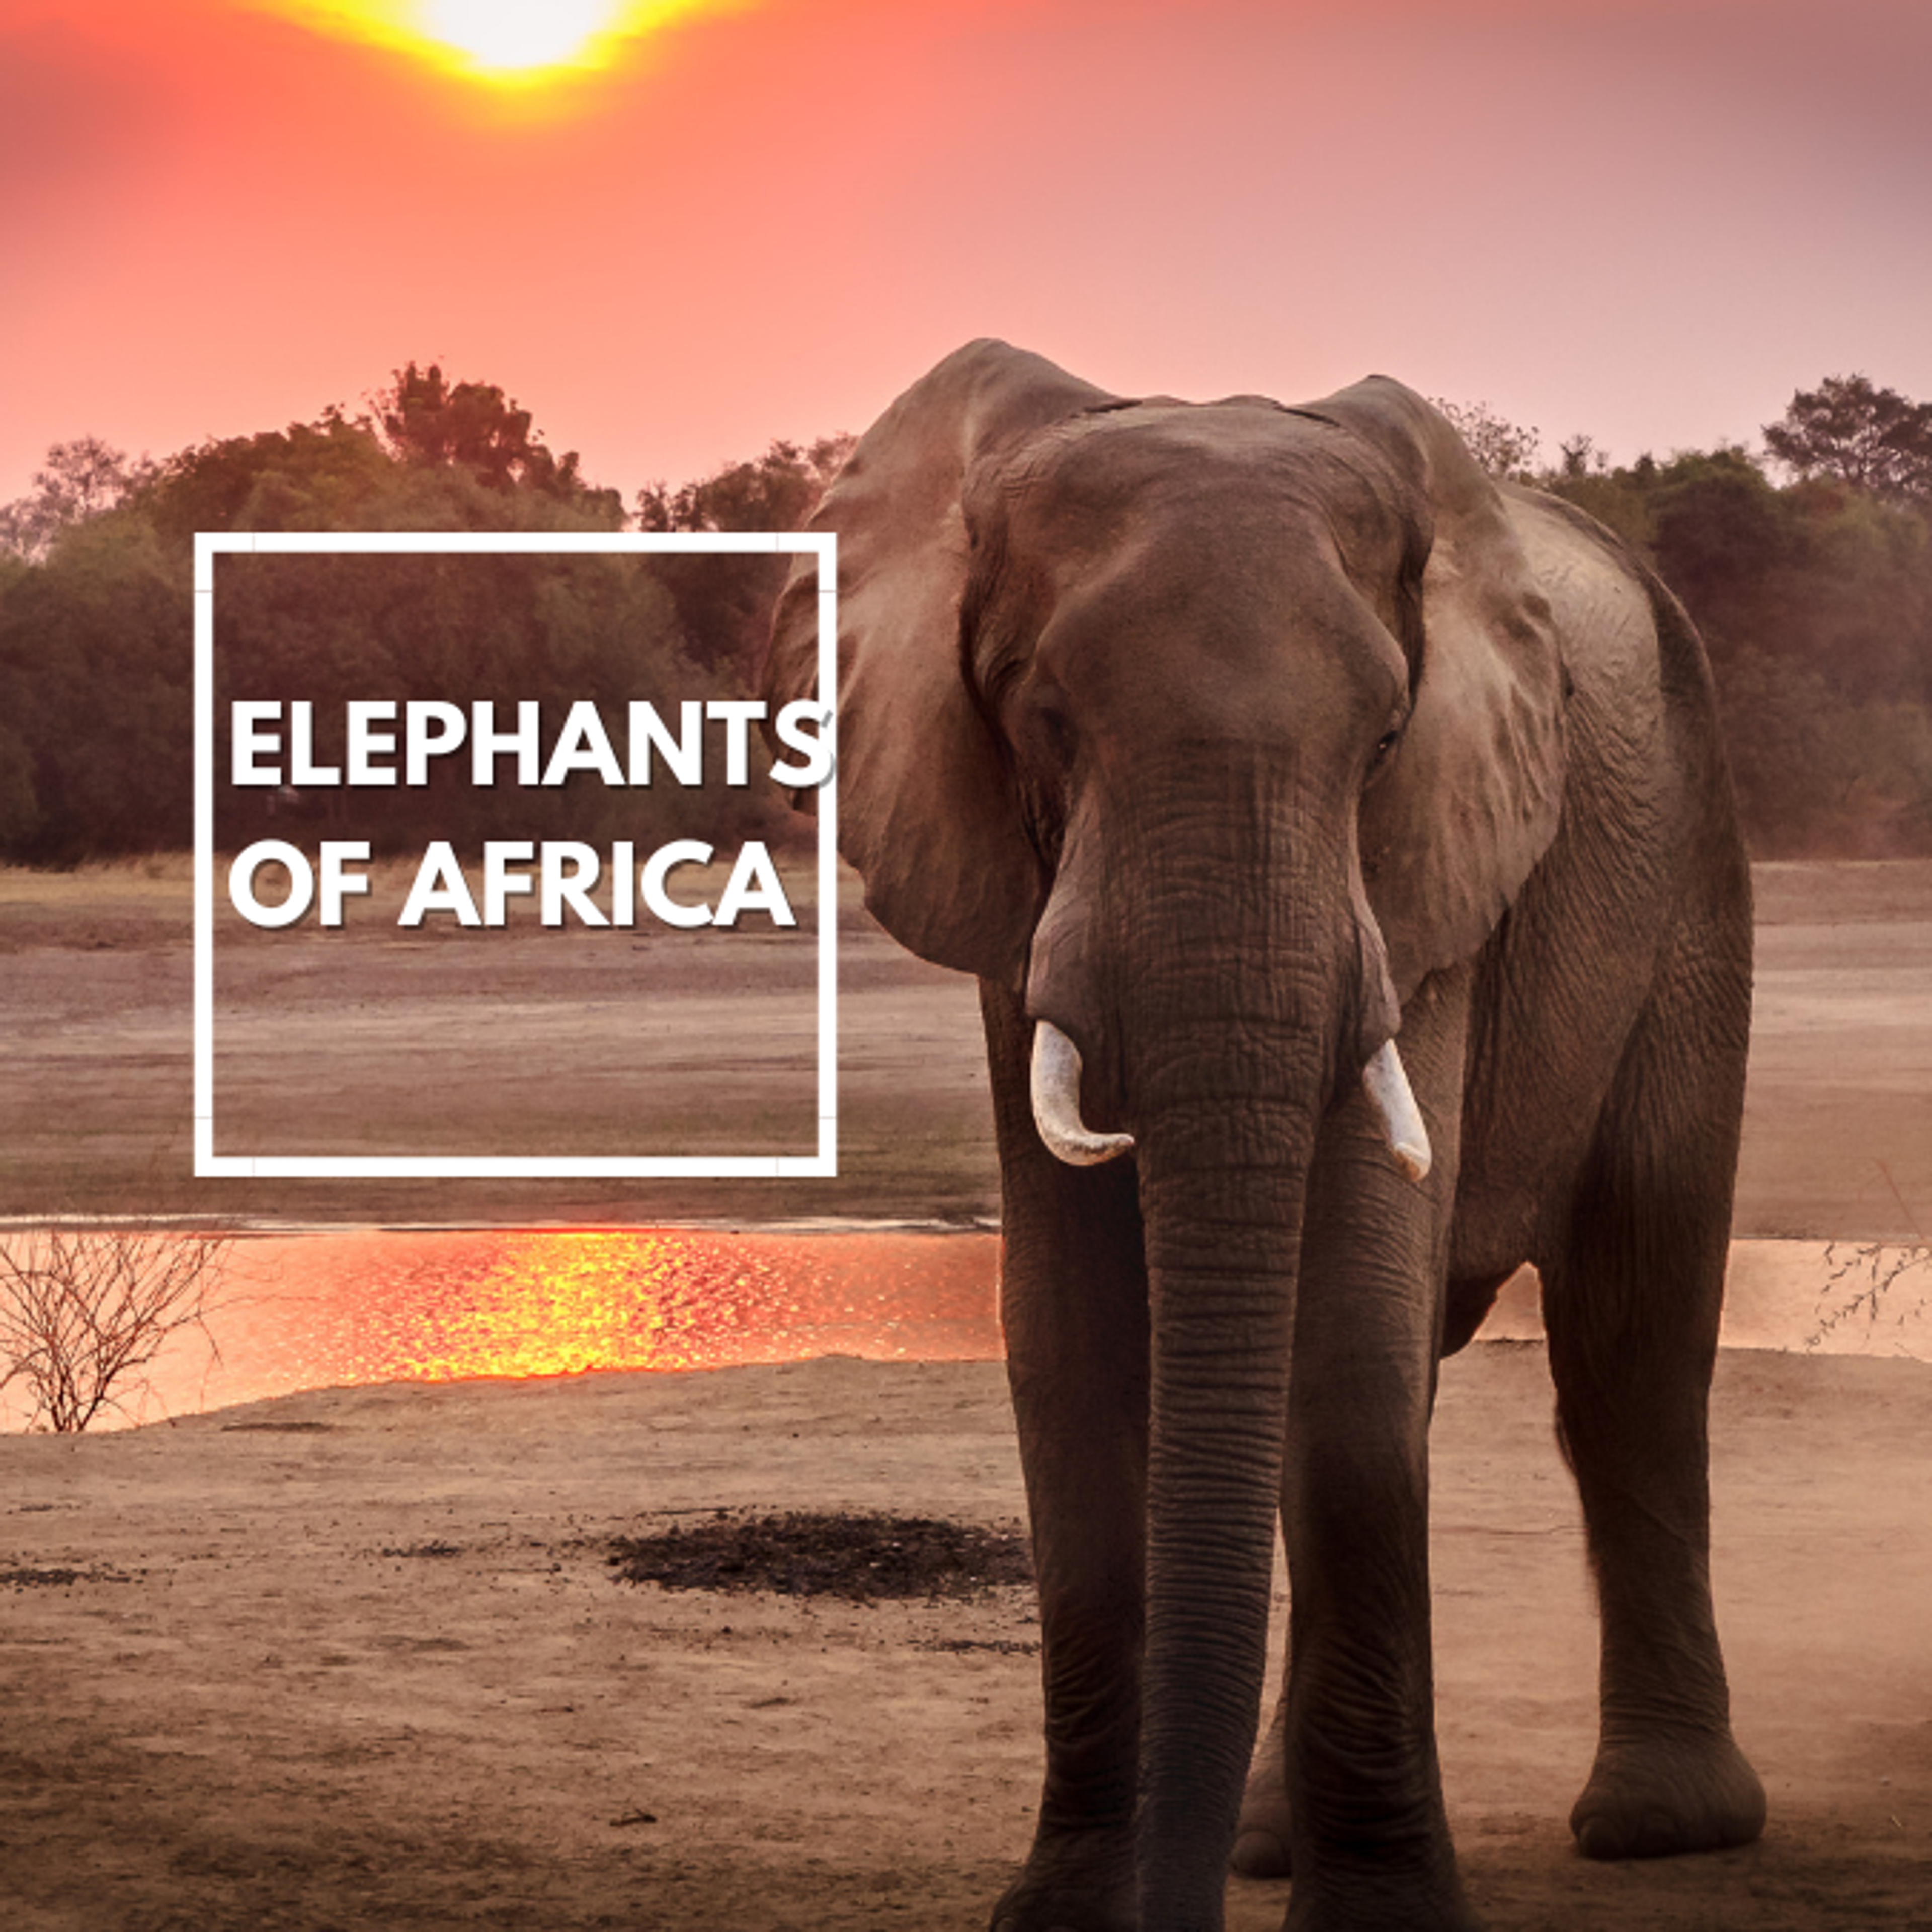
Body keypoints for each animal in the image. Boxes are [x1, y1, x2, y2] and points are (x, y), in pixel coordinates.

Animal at [762, 340, 1767, 1931]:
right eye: (1041, 719)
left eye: (1386, 740)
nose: (1164, 1908)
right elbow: (1071, 1336)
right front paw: (1071, 1912)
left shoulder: (1426, 875)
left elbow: (1349, 1332)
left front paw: (1381, 1921)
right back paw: (1265, 1844)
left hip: (1691, 874)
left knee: (1632, 1342)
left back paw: (1659, 1826)